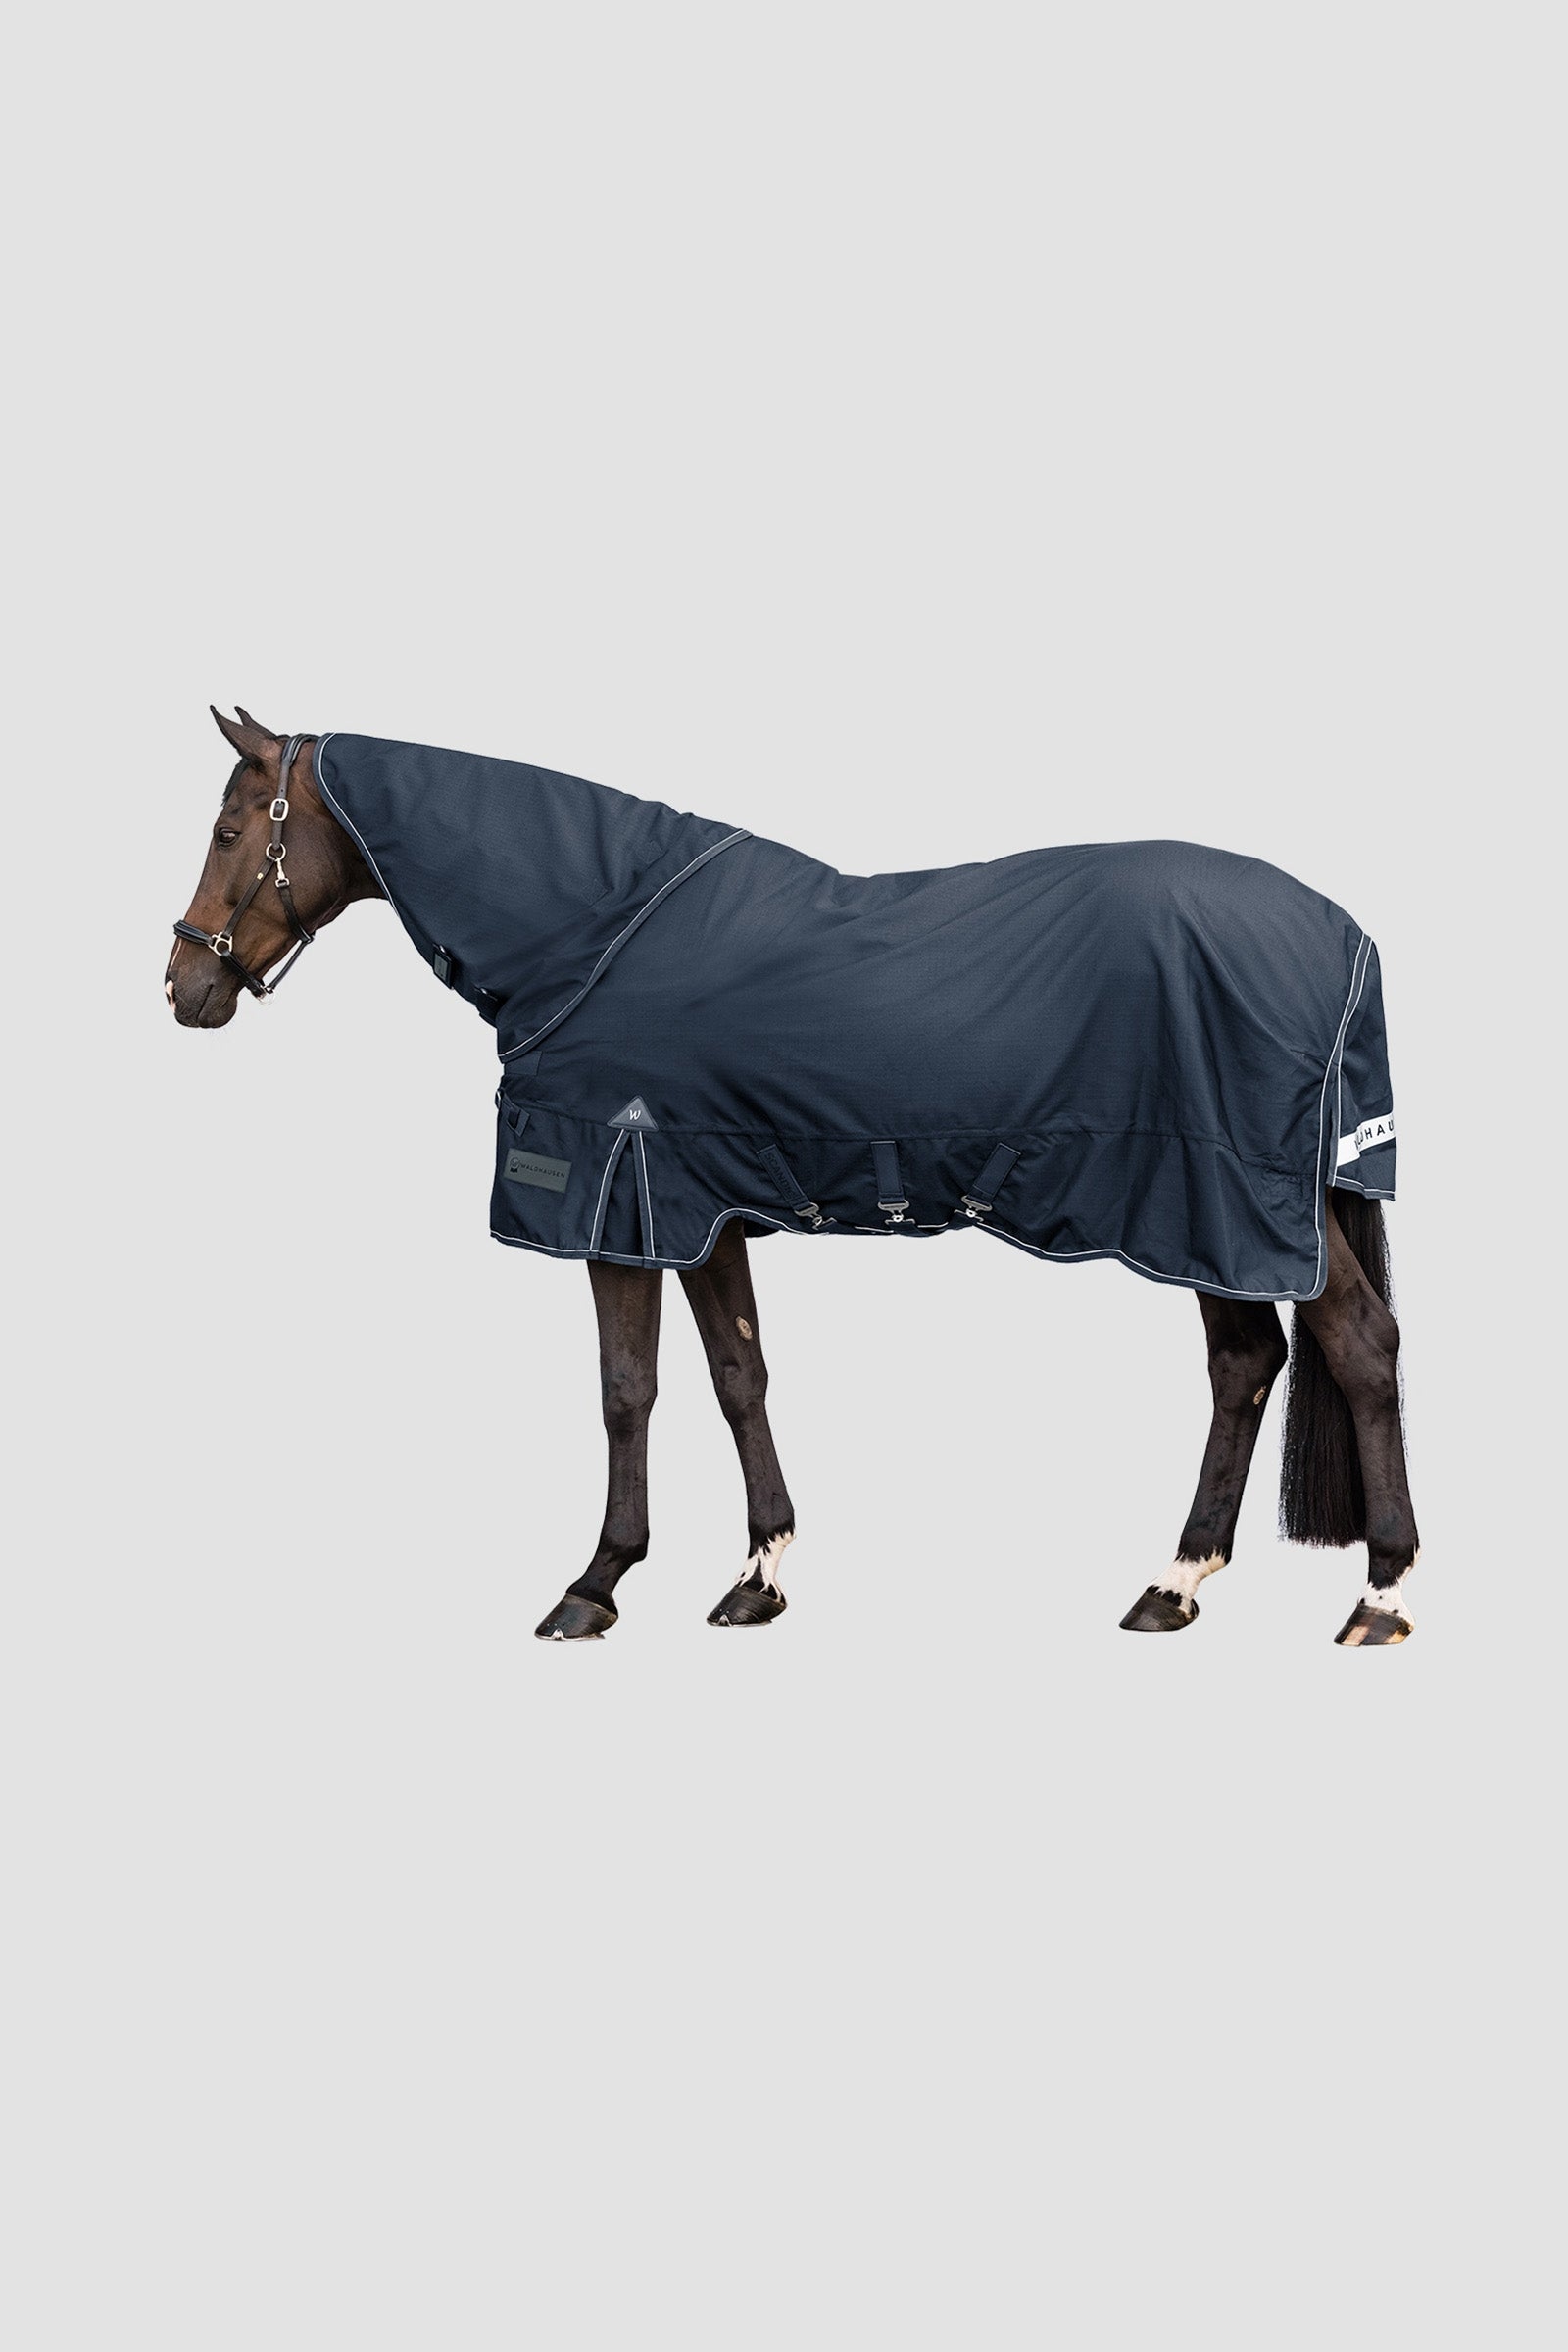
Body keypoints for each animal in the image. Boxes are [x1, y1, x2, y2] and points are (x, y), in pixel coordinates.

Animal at [167, 708, 1419, 1647]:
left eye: (230, 828)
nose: (185, 988)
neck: (593, 927)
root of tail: (1342, 936)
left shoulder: (616, 1203)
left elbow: (627, 1391)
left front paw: (595, 1583)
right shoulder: (699, 1209)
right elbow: (738, 1378)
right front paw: (757, 1575)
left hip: (1234, 1204)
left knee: (1357, 1346)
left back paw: (1380, 1594)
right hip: (1215, 1221)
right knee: (1246, 1364)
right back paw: (1175, 1583)